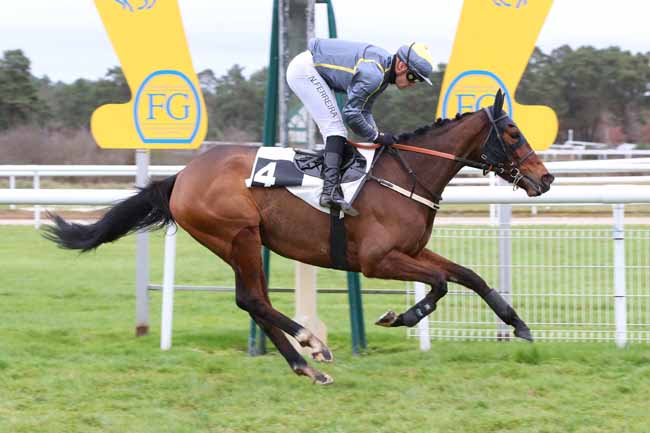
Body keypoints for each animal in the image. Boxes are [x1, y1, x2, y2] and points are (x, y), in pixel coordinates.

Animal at [45, 90, 554, 385]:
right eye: (512, 132)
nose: (545, 178)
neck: (406, 174)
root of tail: (182, 177)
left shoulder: (410, 249)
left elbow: (469, 276)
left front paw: (520, 325)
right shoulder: (377, 259)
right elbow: (442, 284)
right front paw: (400, 316)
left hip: (241, 243)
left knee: (255, 301)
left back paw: (304, 364)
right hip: (240, 235)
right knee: (252, 300)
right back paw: (312, 344)